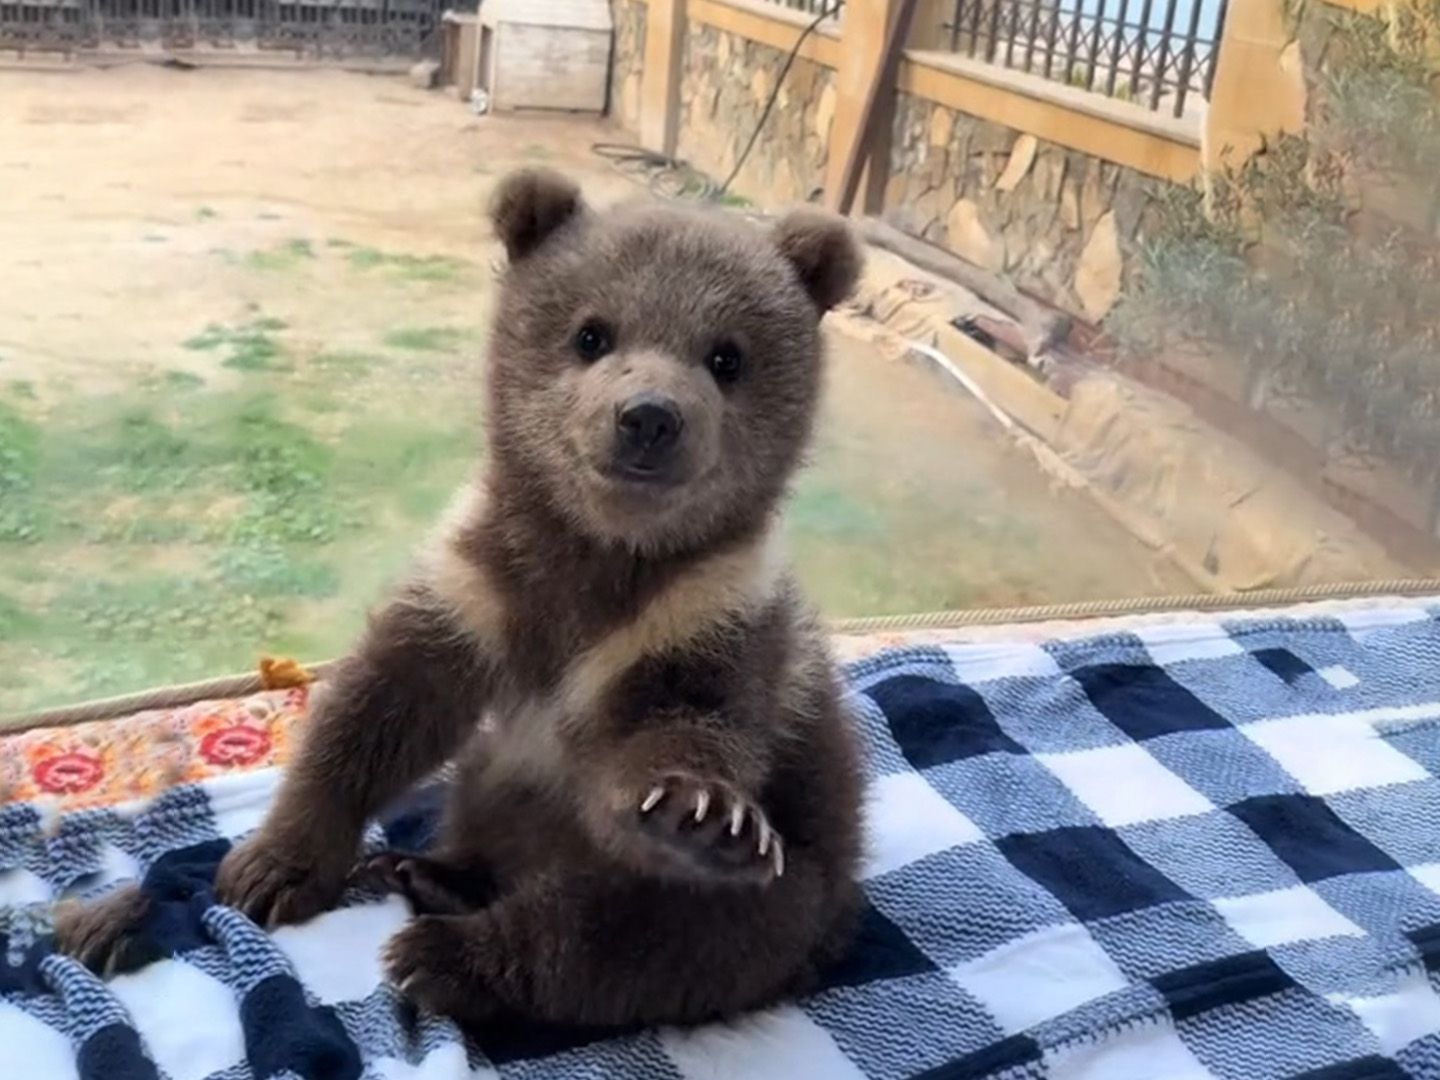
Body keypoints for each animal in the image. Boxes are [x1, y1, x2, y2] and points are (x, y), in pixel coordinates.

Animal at [58, 168, 866, 1030]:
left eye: (726, 355)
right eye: (592, 334)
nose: (649, 417)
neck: (598, 560)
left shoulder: (701, 624)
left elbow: (678, 746)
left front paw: (699, 817)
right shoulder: (479, 592)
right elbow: (379, 712)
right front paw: (273, 866)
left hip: (793, 888)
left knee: (638, 934)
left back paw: (448, 951)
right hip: (497, 780)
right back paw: (429, 873)